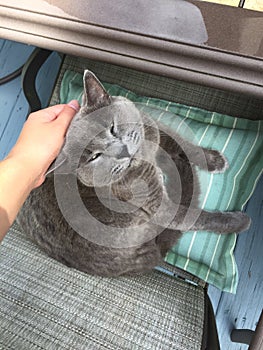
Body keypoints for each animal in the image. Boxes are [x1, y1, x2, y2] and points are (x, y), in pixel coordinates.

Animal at [16, 69, 252, 274]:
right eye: (93, 157)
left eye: (112, 128)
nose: (122, 152)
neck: (145, 156)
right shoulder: (158, 206)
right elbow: (197, 218)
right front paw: (239, 222)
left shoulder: (155, 128)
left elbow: (184, 145)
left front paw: (214, 160)